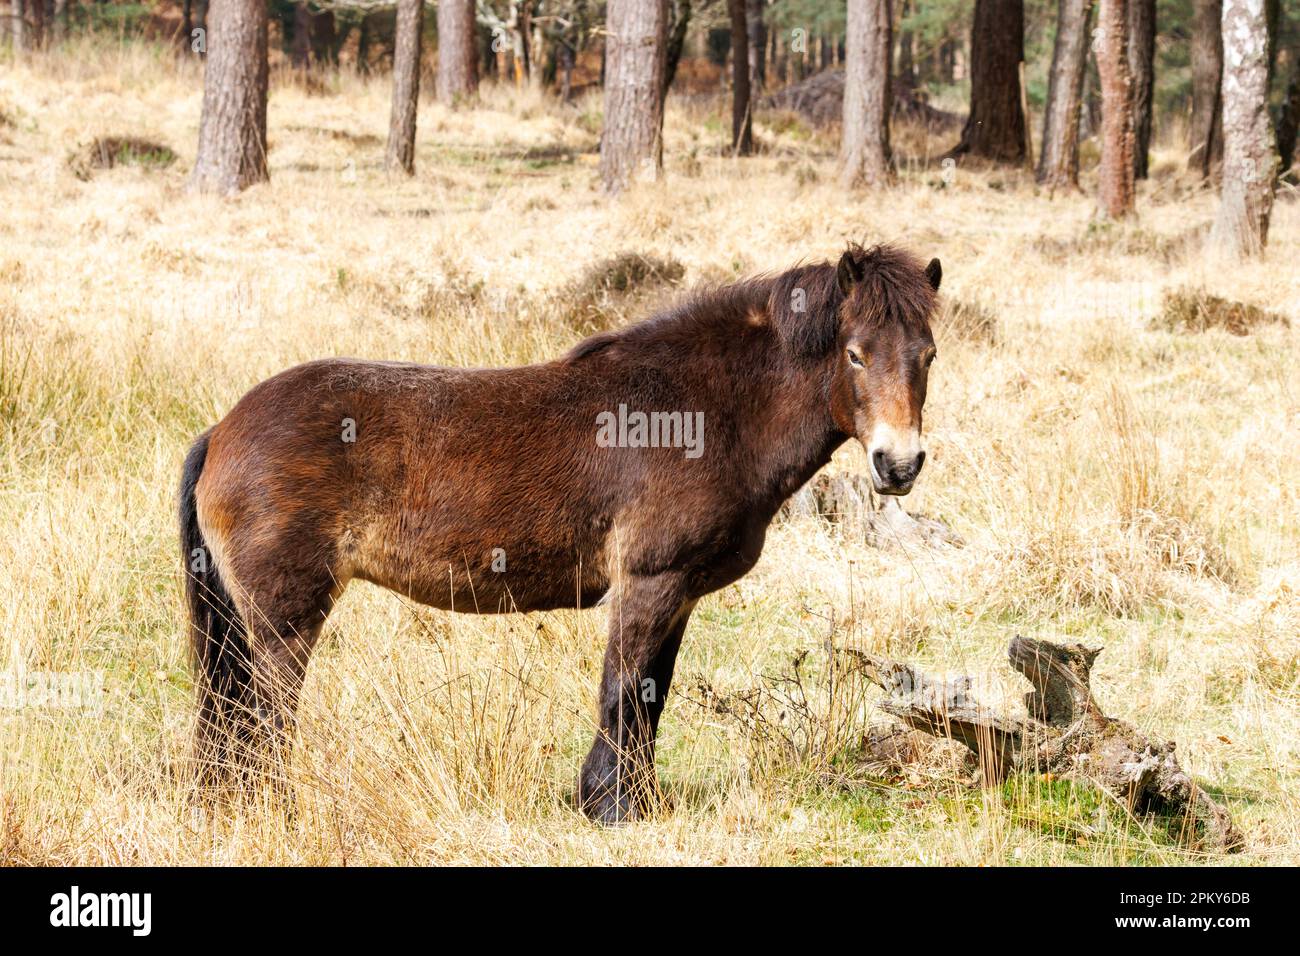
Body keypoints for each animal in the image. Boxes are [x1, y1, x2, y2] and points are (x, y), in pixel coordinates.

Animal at [179, 242, 942, 824]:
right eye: (853, 354)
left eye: (928, 355)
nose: (898, 465)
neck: (704, 409)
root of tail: (222, 429)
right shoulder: (648, 585)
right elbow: (622, 694)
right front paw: (611, 806)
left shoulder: (679, 597)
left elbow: (651, 697)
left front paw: (634, 801)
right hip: (286, 619)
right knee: (264, 714)